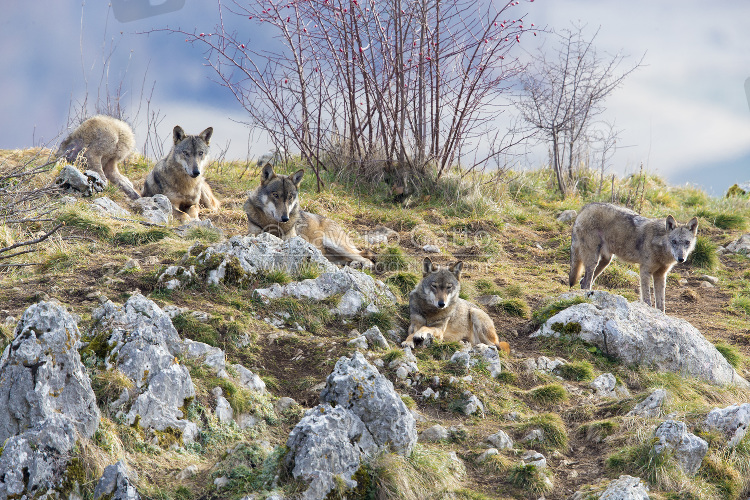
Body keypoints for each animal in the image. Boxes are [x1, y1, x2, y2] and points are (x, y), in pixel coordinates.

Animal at [244, 164, 374, 268]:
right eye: (275, 195)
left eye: (290, 197)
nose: (285, 218)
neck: (273, 225)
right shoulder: (254, 233)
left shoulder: (291, 237)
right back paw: (354, 264)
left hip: (336, 244)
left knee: (365, 258)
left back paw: (363, 264)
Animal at [572, 203, 704, 312]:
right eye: (674, 242)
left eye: (687, 242)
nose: (681, 259)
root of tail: (584, 208)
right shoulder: (645, 271)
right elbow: (647, 299)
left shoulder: (661, 275)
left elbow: (661, 304)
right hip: (593, 261)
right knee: (586, 283)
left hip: (605, 261)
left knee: (583, 281)